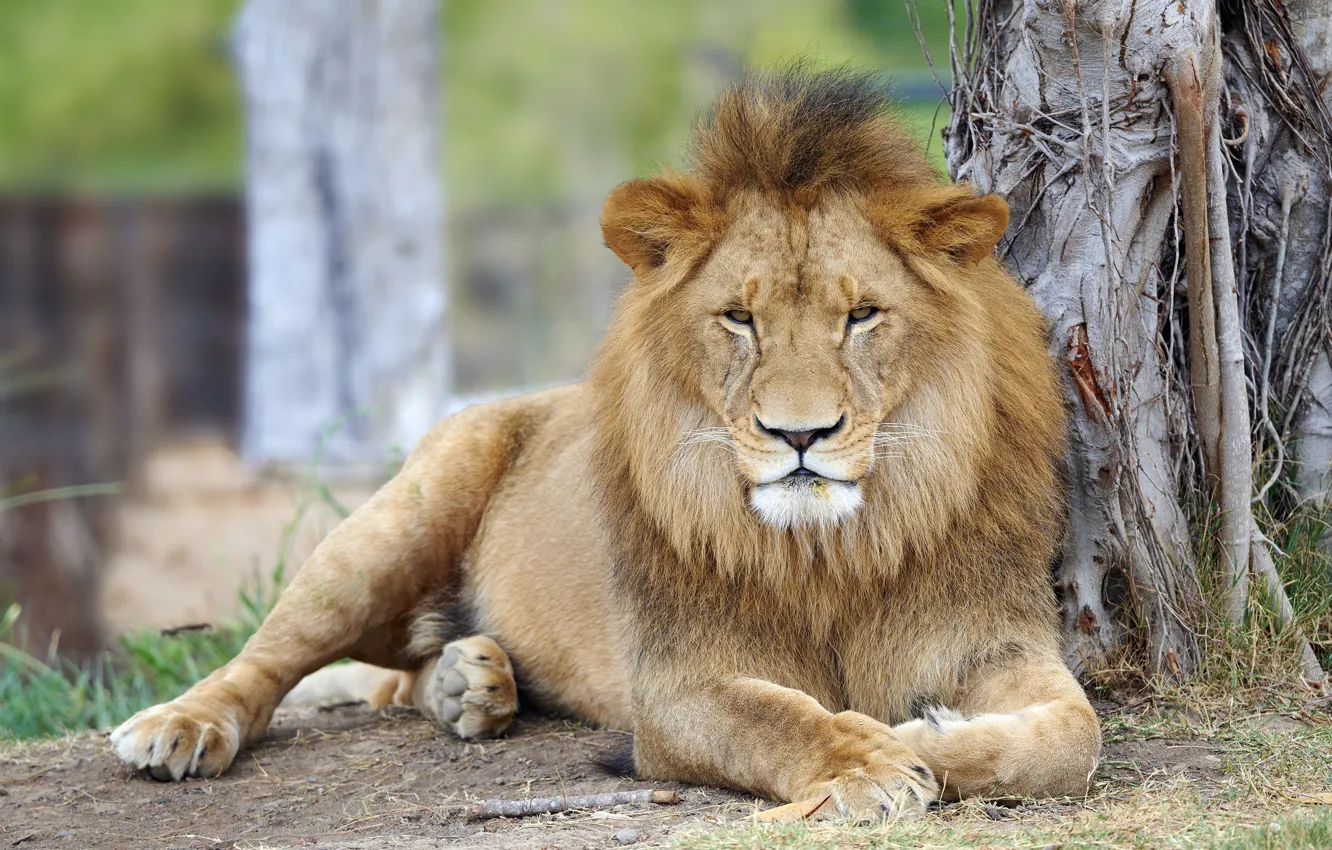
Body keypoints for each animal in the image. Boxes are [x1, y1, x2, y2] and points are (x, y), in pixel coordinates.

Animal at [111, 68, 1101, 821]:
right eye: (739, 319)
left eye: (861, 316)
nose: (800, 434)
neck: (833, 550)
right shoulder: (677, 684)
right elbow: (783, 720)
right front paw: (872, 761)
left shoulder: (989, 641)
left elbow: (1073, 737)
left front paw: (921, 734)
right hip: (388, 529)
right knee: (269, 653)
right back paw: (178, 727)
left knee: (397, 670)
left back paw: (468, 683)